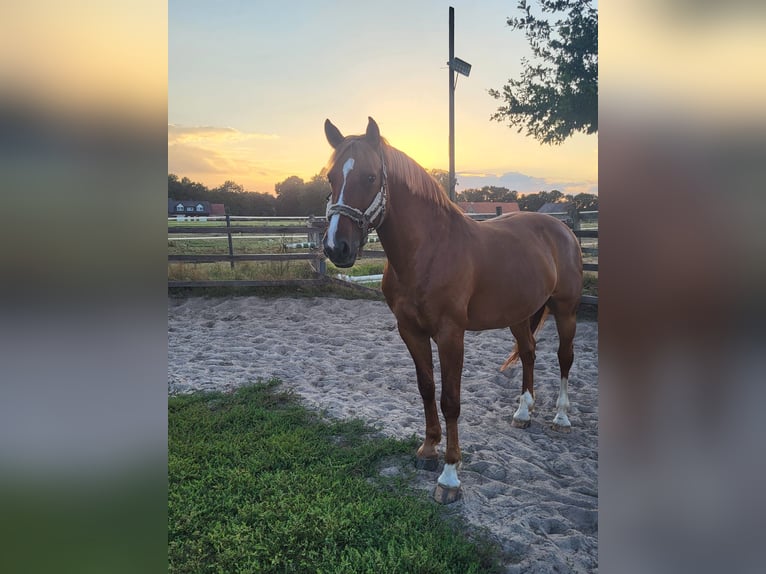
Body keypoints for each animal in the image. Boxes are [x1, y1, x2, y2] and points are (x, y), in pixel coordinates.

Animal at [322, 117, 583, 503]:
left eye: (369, 177)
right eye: (330, 177)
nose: (336, 248)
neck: (428, 251)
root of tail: (562, 229)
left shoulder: (450, 335)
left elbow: (451, 400)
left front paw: (449, 476)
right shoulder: (410, 331)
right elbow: (426, 388)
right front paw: (428, 450)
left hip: (565, 310)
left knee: (565, 358)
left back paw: (561, 418)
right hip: (520, 314)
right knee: (529, 353)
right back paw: (523, 412)